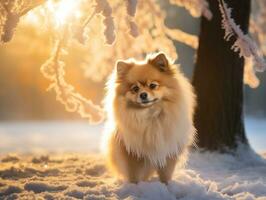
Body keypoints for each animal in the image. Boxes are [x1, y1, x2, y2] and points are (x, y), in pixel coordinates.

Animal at [102, 52, 195, 184]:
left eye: (152, 85)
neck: (151, 116)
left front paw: (167, 185)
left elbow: (166, 175)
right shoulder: (133, 154)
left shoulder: (169, 151)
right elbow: (134, 175)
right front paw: (135, 186)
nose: (143, 95)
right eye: (135, 88)